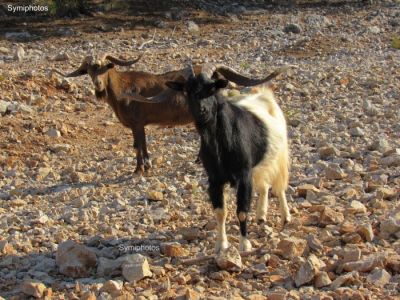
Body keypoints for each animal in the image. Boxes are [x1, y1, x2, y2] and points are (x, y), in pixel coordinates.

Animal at [54, 54, 282, 173]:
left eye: (104, 68)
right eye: (89, 71)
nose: (98, 86)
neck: (122, 88)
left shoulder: (138, 123)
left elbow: (140, 146)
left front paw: (142, 168)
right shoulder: (138, 125)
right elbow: (139, 145)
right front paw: (143, 167)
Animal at [164, 65, 292, 253]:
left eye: (212, 88)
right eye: (187, 91)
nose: (201, 111)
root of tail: (264, 94)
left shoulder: (244, 175)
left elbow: (242, 211)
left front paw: (245, 245)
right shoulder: (214, 179)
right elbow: (220, 212)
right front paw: (221, 245)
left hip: (278, 155)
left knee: (279, 185)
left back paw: (285, 217)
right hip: (259, 165)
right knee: (264, 185)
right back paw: (261, 216)